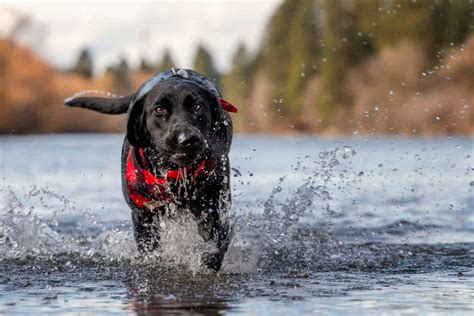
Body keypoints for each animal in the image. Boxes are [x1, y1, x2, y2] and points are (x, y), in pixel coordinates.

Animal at [65, 68, 236, 270]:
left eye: (197, 106)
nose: (187, 139)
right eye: (159, 109)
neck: (175, 173)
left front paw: (211, 257)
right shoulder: (143, 214)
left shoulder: (215, 203)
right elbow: (149, 249)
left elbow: (218, 238)